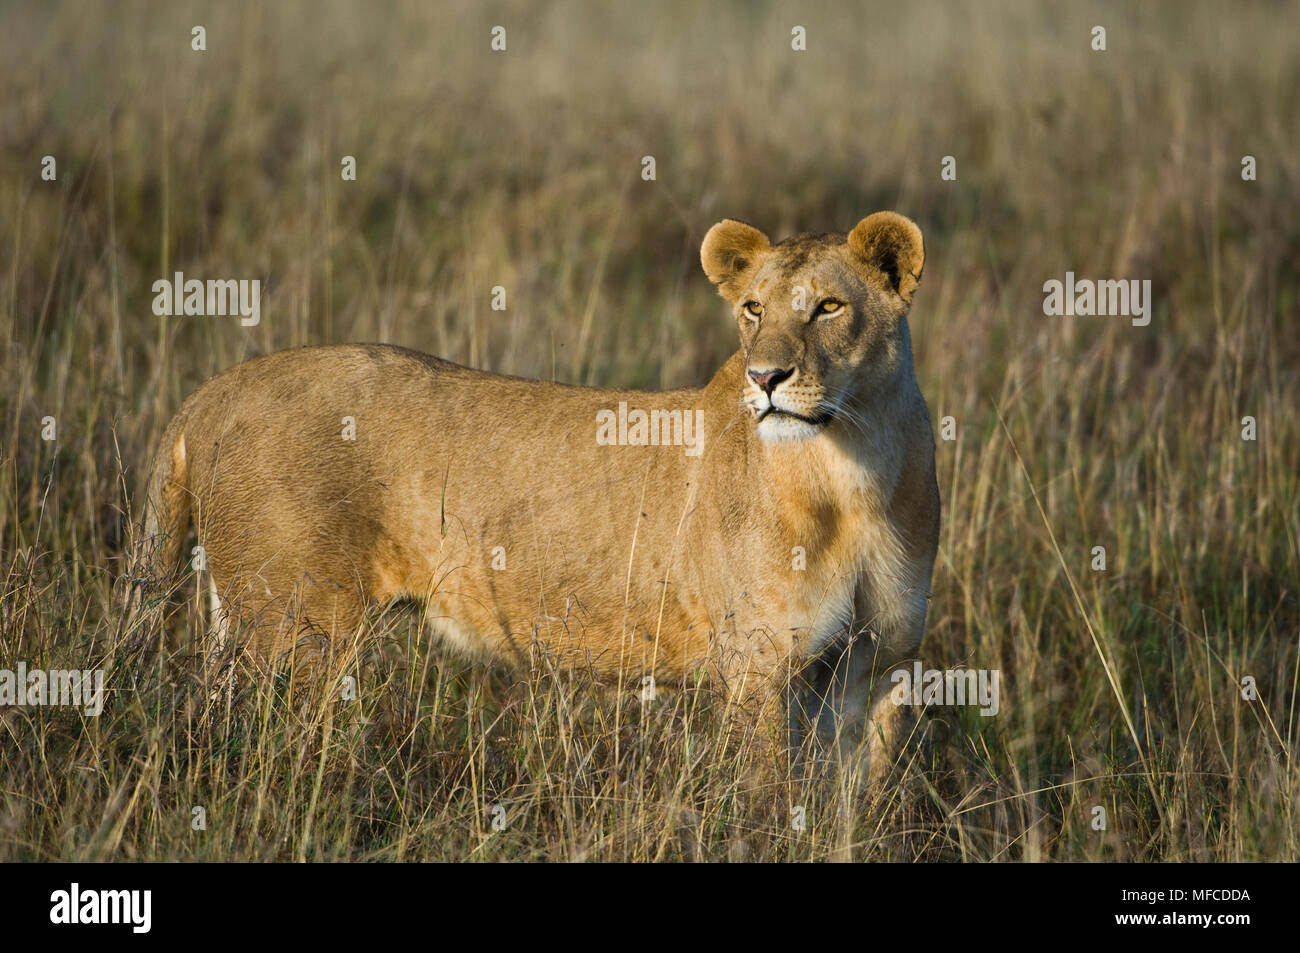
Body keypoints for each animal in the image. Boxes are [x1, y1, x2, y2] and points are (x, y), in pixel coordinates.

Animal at [131, 211, 939, 779]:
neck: (853, 473)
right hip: (294, 630)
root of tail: (215, 390)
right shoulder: (761, 666)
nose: (765, 377)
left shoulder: (880, 669)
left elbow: (860, 806)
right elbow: (767, 801)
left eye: (827, 307)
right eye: (751, 309)